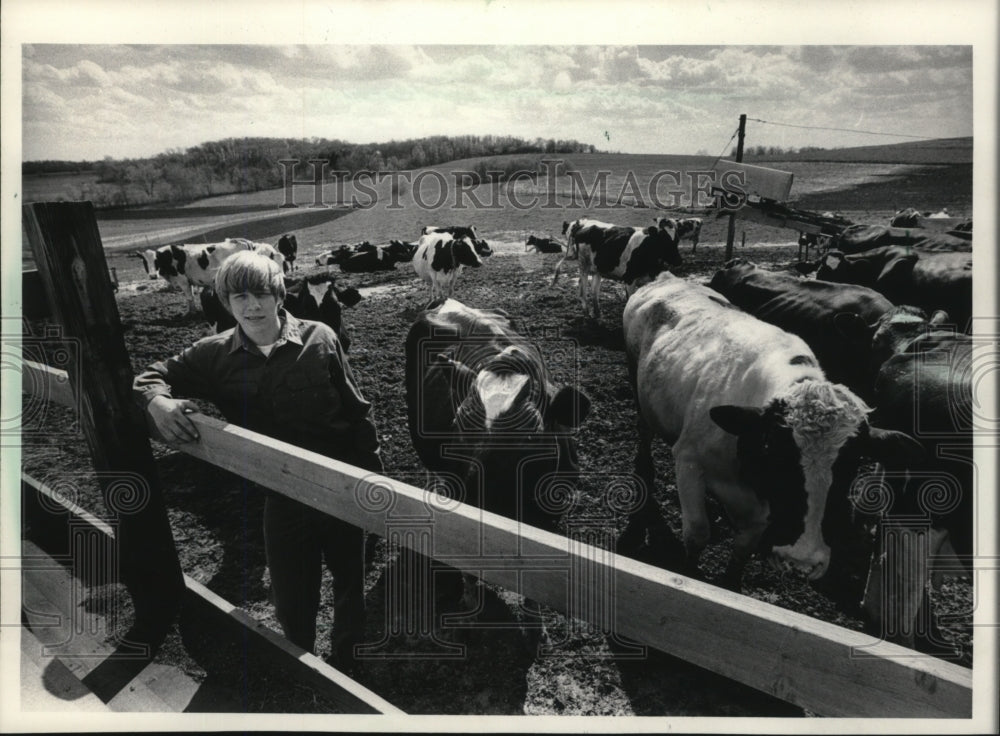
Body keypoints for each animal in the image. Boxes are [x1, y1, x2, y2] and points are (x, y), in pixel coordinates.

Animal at [552, 217, 684, 318]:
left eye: (677, 240)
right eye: (664, 240)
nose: (679, 260)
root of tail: (582, 223)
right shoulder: (630, 278)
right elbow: (629, 299)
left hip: (597, 268)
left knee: (594, 289)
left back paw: (597, 313)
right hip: (584, 264)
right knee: (583, 285)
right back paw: (587, 312)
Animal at [620, 274, 916, 588]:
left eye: (853, 463)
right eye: (775, 451)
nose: (800, 562)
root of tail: (667, 278)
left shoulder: (760, 512)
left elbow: (743, 548)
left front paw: (731, 582)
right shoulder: (688, 460)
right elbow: (698, 533)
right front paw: (690, 572)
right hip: (637, 383)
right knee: (644, 429)